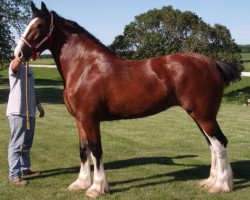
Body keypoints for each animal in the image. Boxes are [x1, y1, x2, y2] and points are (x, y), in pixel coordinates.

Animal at [13, 1, 240, 198]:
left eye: (40, 25)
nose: (18, 54)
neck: (84, 67)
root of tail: (213, 63)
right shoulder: (79, 121)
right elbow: (83, 150)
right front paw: (80, 183)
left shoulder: (90, 119)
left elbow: (96, 150)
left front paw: (97, 188)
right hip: (199, 116)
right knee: (212, 144)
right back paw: (210, 182)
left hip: (203, 115)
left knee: (220, 143)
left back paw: (221, 185)